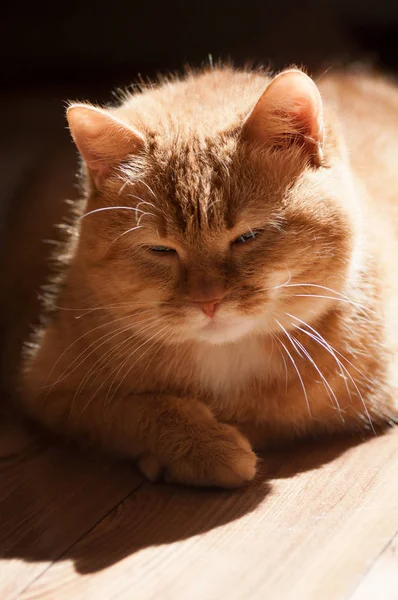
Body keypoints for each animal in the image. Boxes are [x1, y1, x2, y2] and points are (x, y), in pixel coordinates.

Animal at [20, 65, 398, 488]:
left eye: (248, 237)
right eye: (161, 250)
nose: (208, 301)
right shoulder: (49, 386)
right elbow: (134, 409)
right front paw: (205, 447)